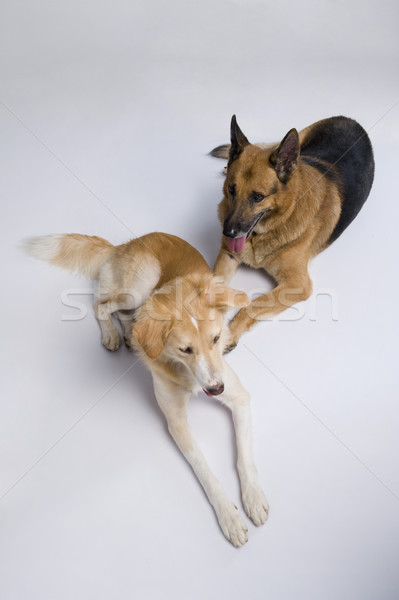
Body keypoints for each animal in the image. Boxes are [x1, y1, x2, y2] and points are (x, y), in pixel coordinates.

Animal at [212, 115, 376, 350]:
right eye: (231, 189)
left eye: (258, 197)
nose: (228, 232)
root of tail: (351, 120)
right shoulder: (228, 254)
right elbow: (212, 286)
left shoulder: (297, 285)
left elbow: (254, 304)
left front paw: (229, 332)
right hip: (301, 139)